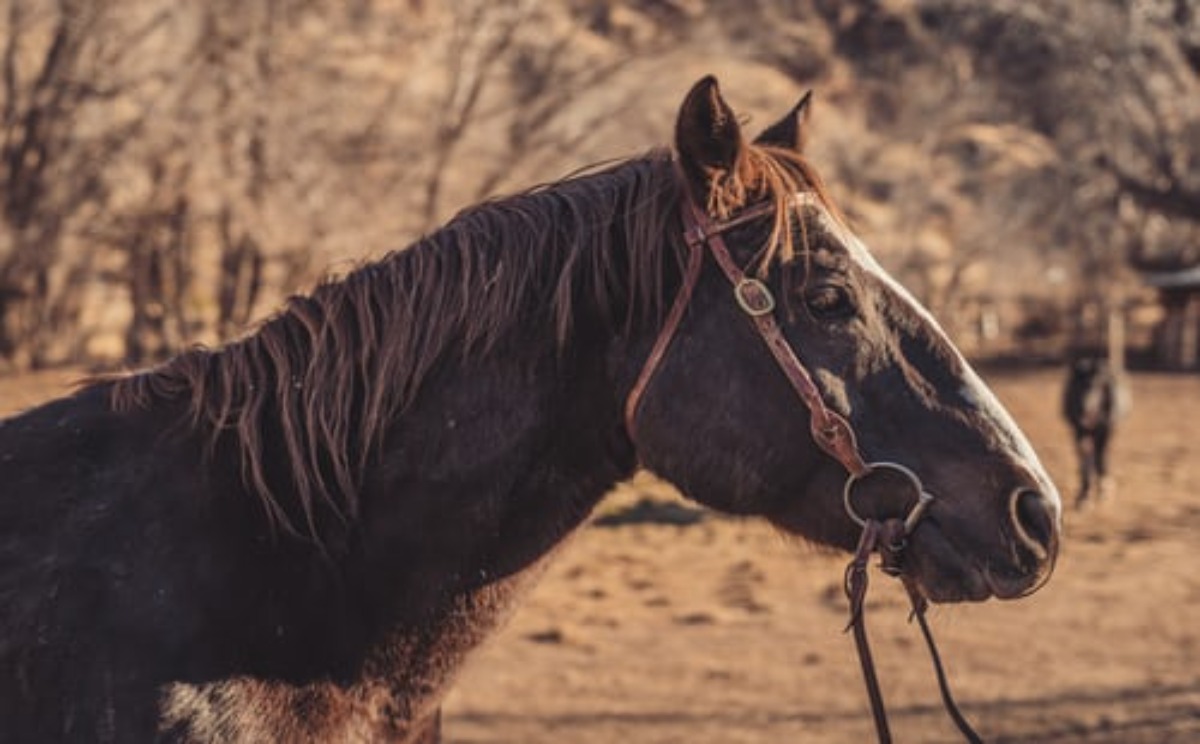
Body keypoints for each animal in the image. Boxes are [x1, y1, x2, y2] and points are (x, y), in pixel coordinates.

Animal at [1065, 352, 1128, 506]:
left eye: (1099, 387)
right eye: (1078, 387)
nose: (1085, 410)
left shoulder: (1105, 430)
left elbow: (1100, 457)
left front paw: (1104, 490)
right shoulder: (1079, 432)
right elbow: (1085, 460)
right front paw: (1084, 495)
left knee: (1101, 455)